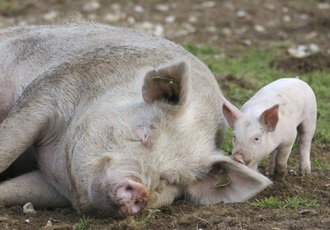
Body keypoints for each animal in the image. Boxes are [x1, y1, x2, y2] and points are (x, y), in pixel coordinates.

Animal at [0, 23, 270, 217]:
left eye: (169, 179)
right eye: (145, 133)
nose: (140, 189)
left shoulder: (54, 187)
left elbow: (14, 190)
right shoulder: (50, 92)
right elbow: (8, 145)